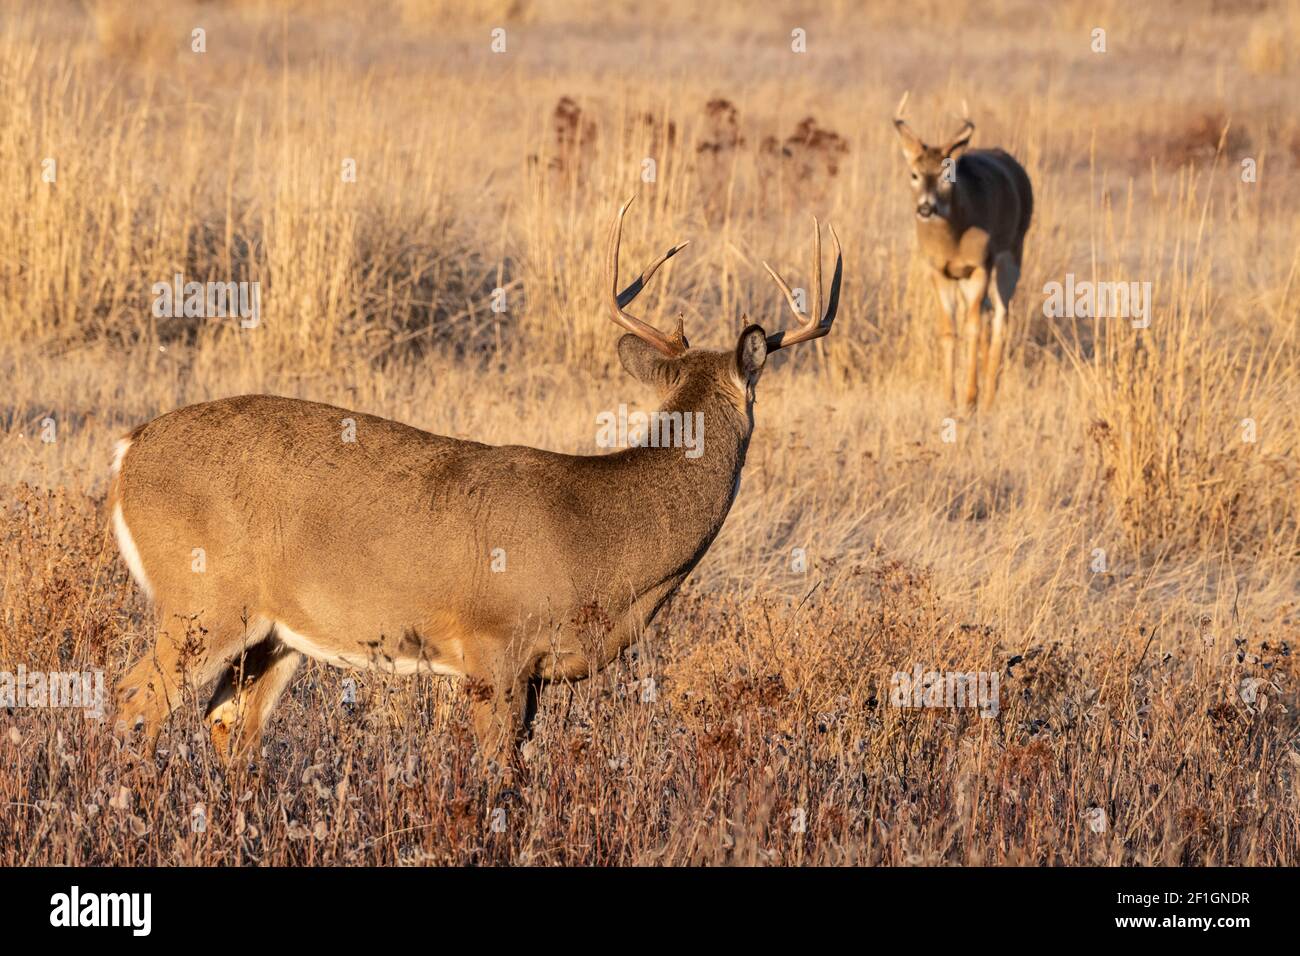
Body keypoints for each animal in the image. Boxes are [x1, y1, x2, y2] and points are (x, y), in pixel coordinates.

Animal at [109, 197, 842, 767]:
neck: (600, 538)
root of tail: (128, 451)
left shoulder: (536, 673)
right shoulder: (495, 649)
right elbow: (498, 775)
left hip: (274, 635)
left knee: (229, 726)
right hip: (201, 600)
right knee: (134, 699)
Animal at [892, 93, 1032, 410]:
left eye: (947, 175)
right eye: (914, 174)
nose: (925, 208)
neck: (953, 239)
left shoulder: (980, 265)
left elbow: (973, 328)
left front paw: (969, 399)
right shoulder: (938, 270)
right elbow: (948, 330)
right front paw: (949, 396)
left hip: (1011, 254)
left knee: (1000, 319)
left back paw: (989, 398)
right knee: (986, 315)